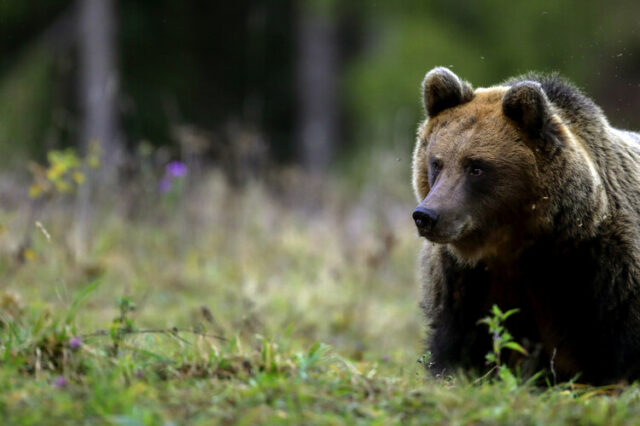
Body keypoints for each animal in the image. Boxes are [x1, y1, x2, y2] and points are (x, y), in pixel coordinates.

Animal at [412, 67, 640, 386]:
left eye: (476, 167)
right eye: (437, 163)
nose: (426, 215)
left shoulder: (603, 273)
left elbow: (618, 357)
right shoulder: (466, 281)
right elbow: (457, 345)